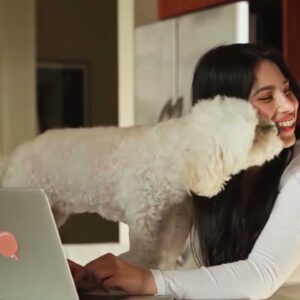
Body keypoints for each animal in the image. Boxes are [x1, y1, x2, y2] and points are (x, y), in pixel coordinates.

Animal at [0, 96, 282, 270]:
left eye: (261, 118)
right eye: (256, 133)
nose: (277, 129)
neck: (175, 152)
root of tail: (16, 154)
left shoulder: (166, 221)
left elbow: (161, 256)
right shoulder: (143, 222)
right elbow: (140, 257)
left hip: (54, 210)